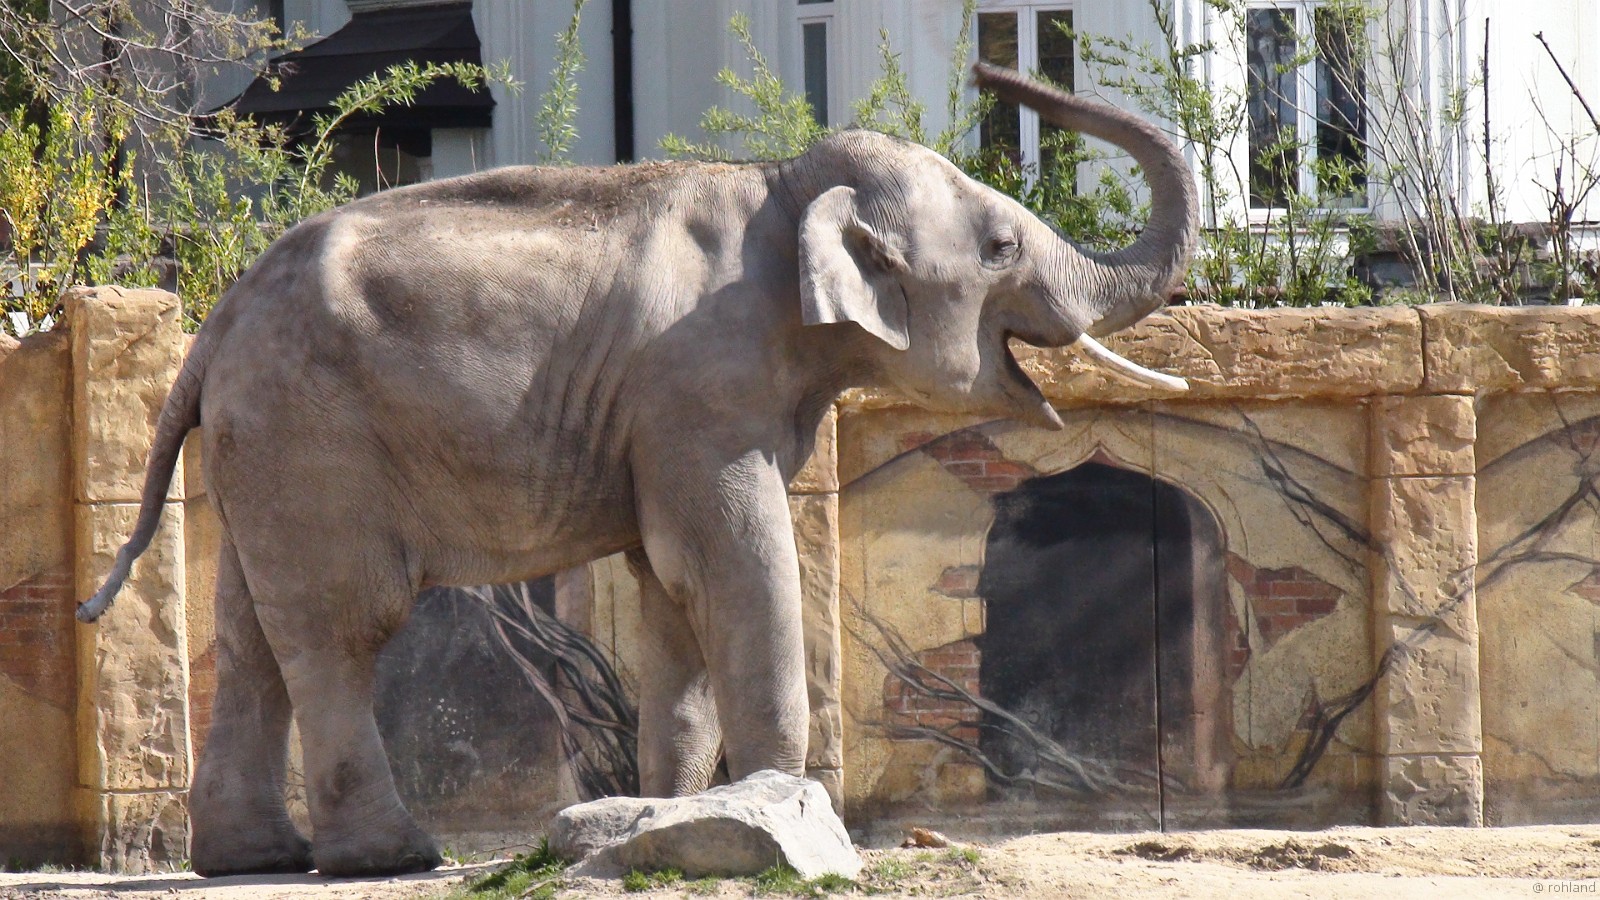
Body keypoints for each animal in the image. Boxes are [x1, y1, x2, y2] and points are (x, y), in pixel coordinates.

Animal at [78, 64, 1197, 878]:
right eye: (1002, 245)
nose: (998, 68)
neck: (781, 185)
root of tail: (214, 321)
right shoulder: (697, 388)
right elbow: (730, 561)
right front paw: (787, 808)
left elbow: (671, 586)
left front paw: (677, 814)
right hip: (312, 437)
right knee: (339, 628)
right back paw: (388, 859)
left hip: (258, 447)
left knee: (252, 635)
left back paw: (254, 861)